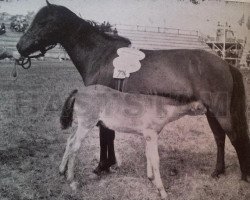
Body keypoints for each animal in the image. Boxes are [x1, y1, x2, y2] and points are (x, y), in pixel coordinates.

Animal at [59, 85, 207, 199]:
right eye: (201, 106)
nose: (206, 110)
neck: (160, 107)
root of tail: (79, 91)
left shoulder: (147, 136)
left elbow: (148, 155)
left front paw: (151, 178)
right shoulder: (152, 135)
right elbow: (155, 159)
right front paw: (162, 191)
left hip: (82, 125)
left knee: (69, 140)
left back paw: (61, 170)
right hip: (86, 124)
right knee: (75, 146)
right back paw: (72, 180)